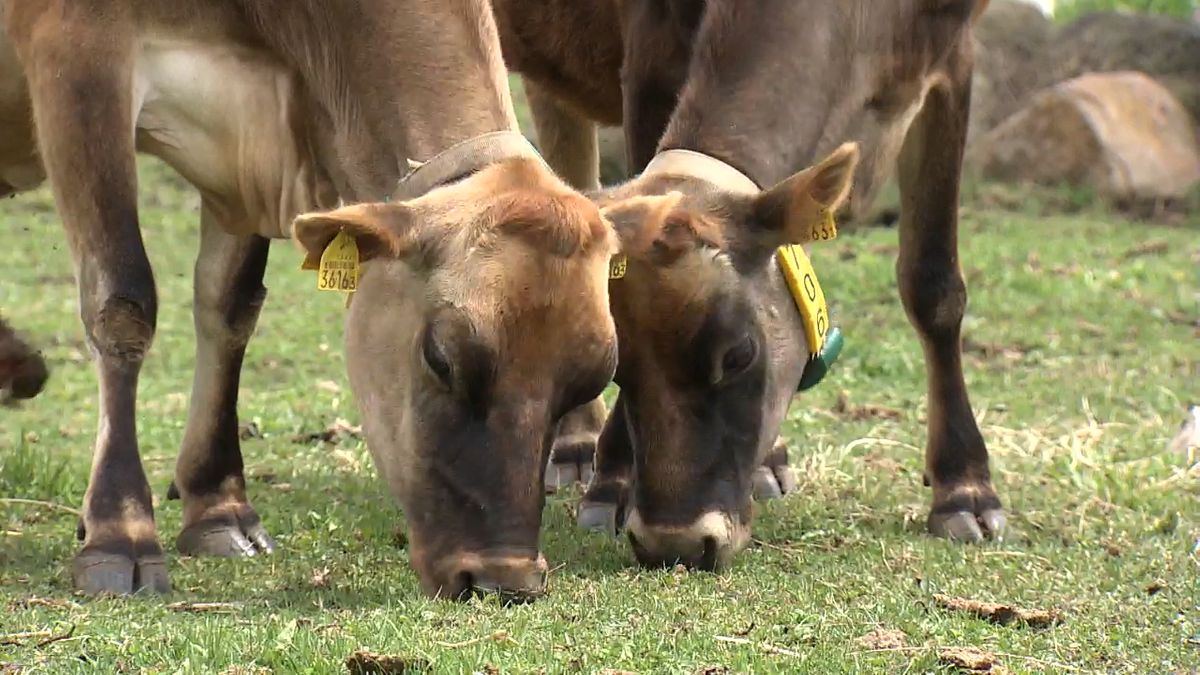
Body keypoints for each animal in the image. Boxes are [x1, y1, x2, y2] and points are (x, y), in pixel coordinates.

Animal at [0, 0, 619, 598]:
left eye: (587, 384)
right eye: (440, 357)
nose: (504, 578)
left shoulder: (244, 150)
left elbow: (230, 303)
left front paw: (217, 504)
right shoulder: (77, 58)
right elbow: (122, 300)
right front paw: (119, 531)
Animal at [492, 0, 1008, 566]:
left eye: (739, 355)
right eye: (619, 363)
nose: (675, 543)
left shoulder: (950, 56)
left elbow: (933, 284)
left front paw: (965, 487)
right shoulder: (652, 57)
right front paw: (614, 479)